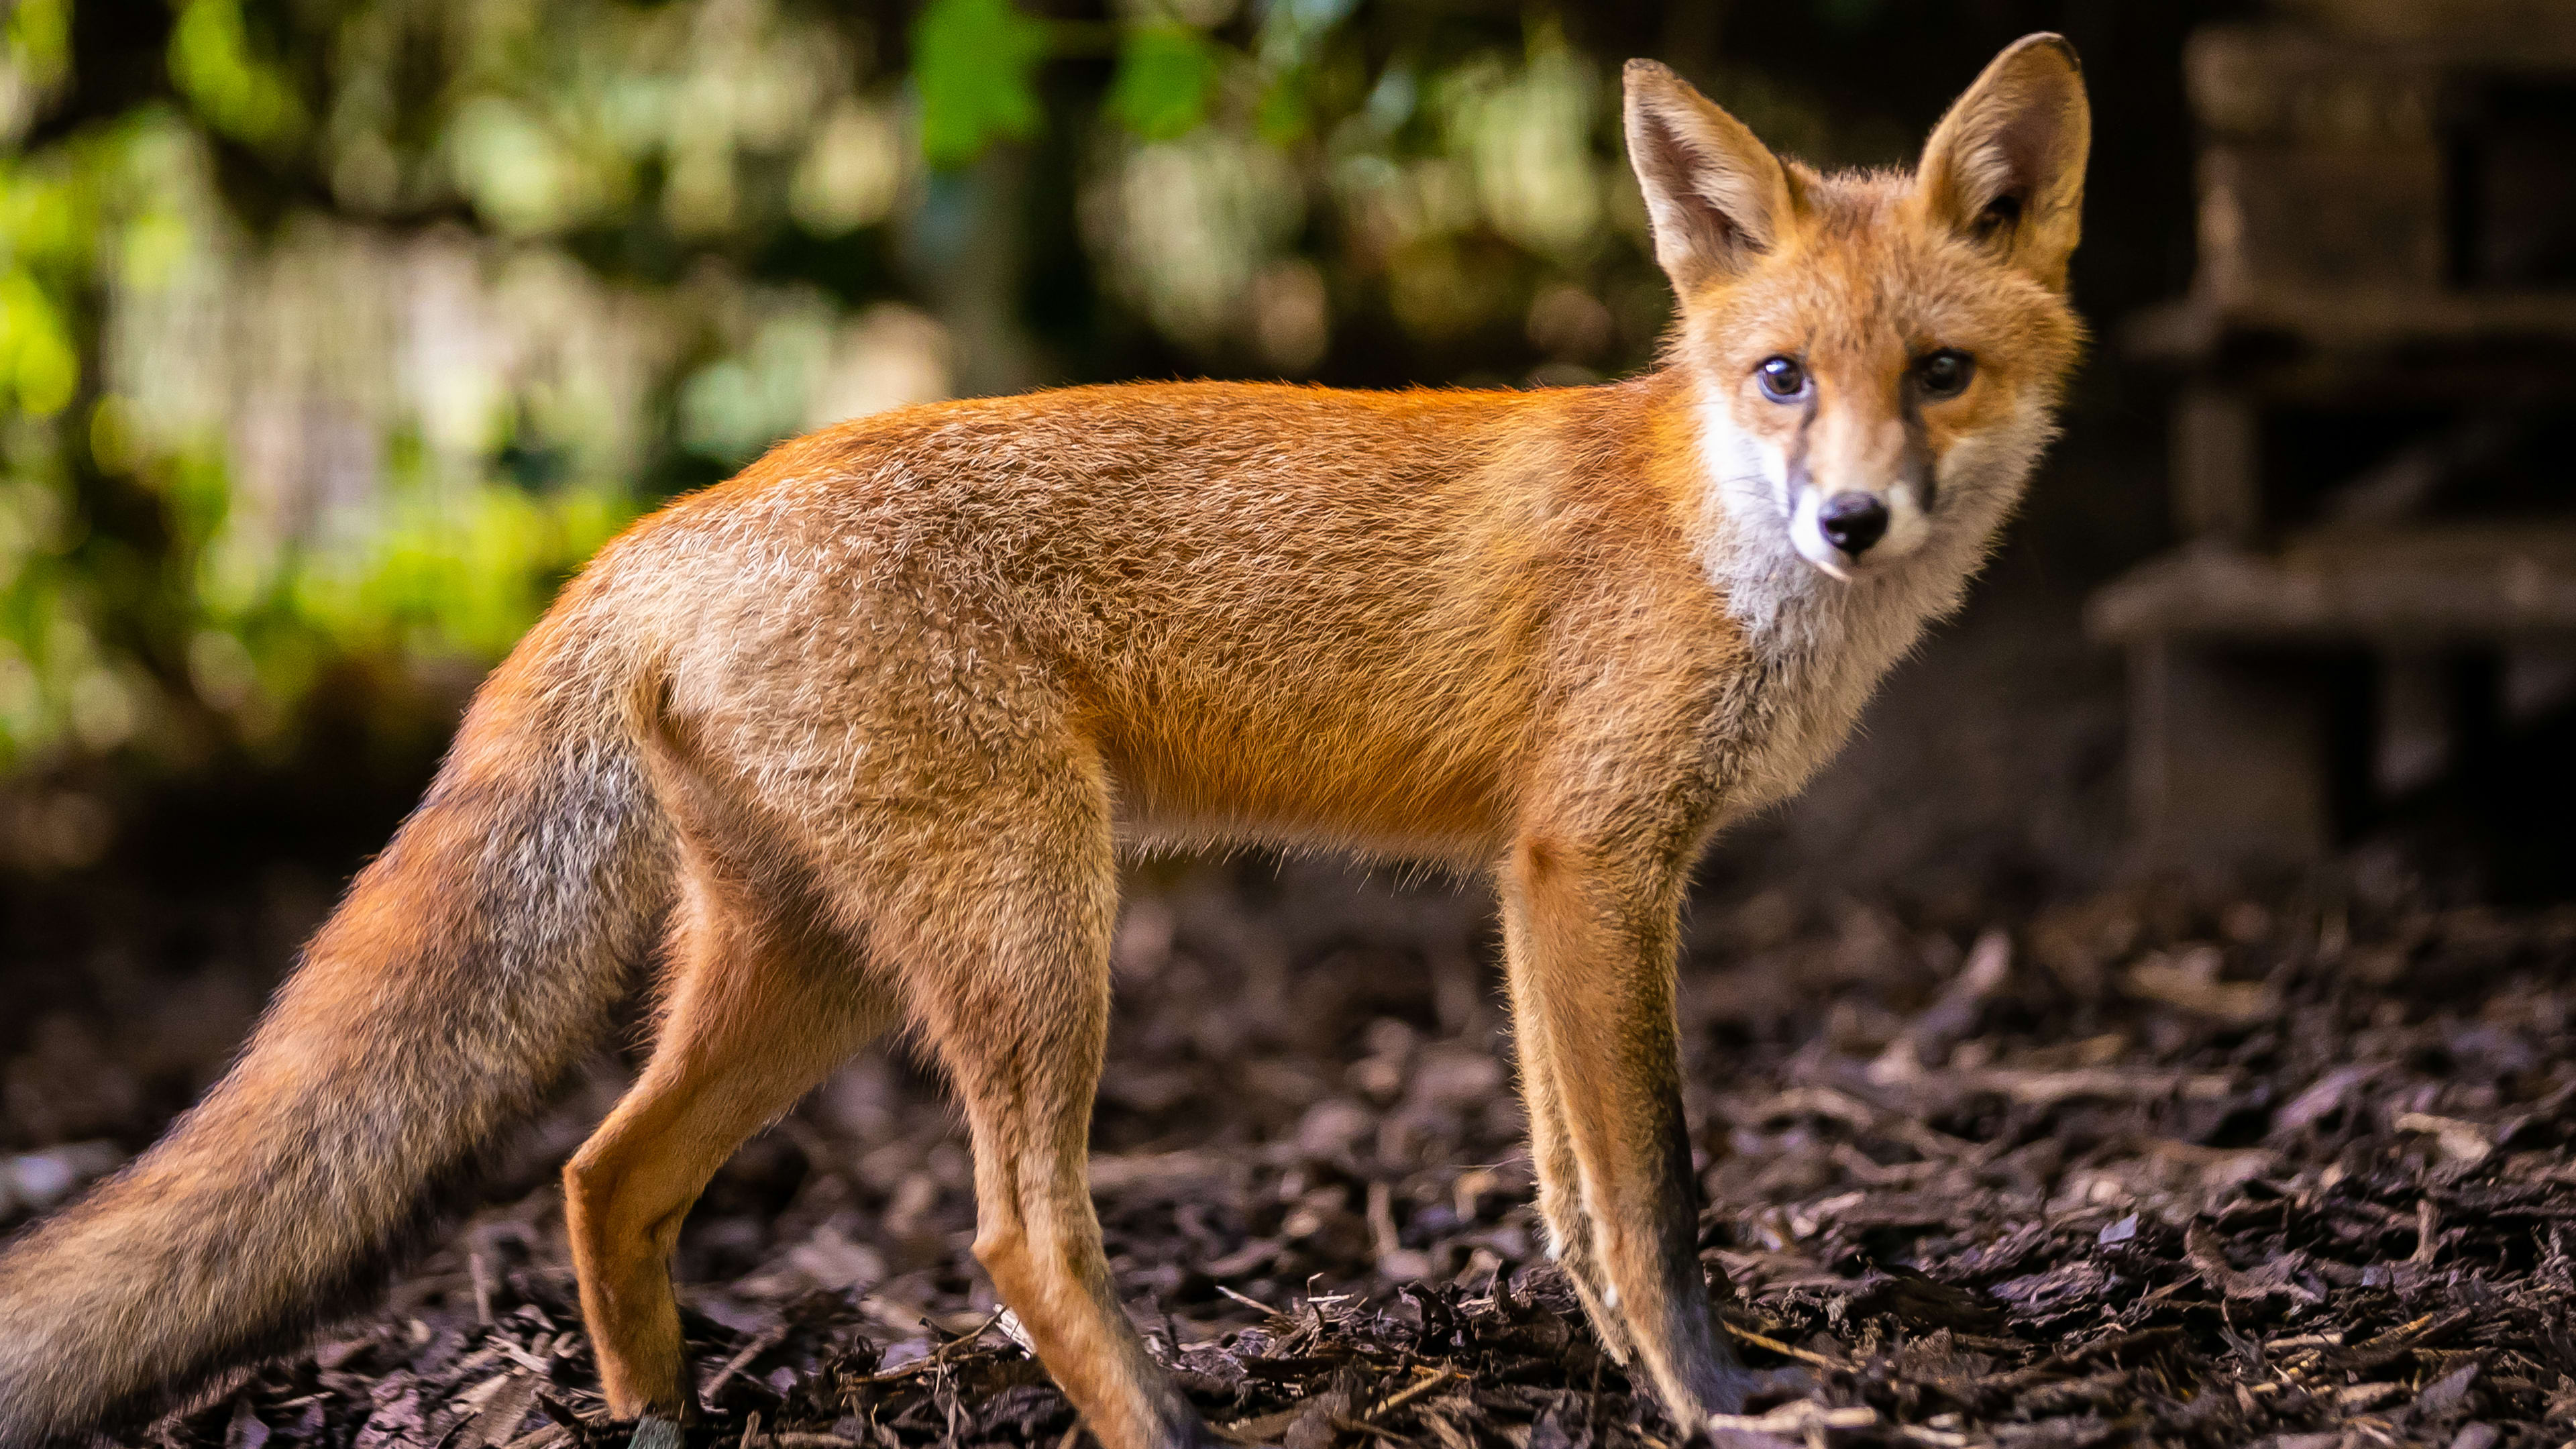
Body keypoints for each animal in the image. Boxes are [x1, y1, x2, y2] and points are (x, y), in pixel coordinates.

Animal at [0, 36, 2081, 1444]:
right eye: (1782, 377)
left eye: (1941, 376)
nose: (1852, 522)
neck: (1703, 527)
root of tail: (677, 518)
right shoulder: (1594, 862)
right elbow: (1653, 1189)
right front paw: (1722, 1404)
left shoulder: (1544, 881)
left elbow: (1574, 1192)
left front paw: (1637, 1385)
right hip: (1029, 927)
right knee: (1011, 1237)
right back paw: (1161, 1430)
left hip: (821, 964)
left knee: (603, 1174)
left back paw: (658, 1419)